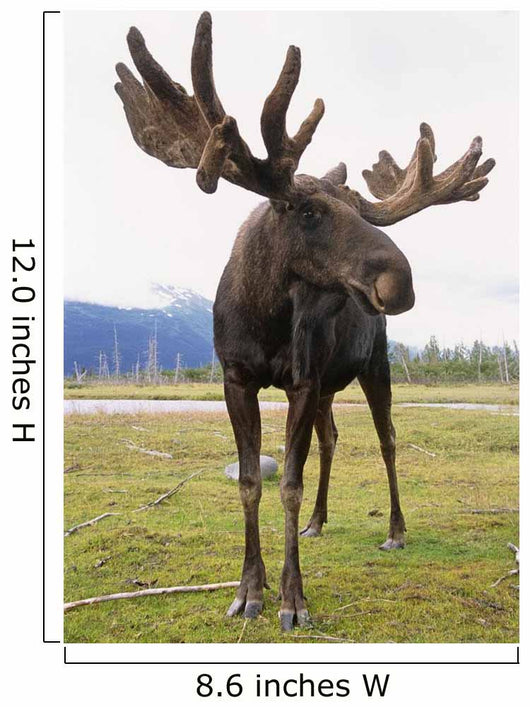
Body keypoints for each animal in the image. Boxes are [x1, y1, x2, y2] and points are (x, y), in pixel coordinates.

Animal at [115, 11, 495, 631]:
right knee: (332, 438)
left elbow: (287, 484)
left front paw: (293, 599)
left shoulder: (300, 380)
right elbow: (251, 481)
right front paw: (250, 589)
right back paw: (320, 521)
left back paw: (396, 530)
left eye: (361, 213)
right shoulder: (238, 378)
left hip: (372, 367)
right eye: (309, 211)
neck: (265, 318)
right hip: (328, 385)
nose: (403, 280)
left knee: (387, 439)